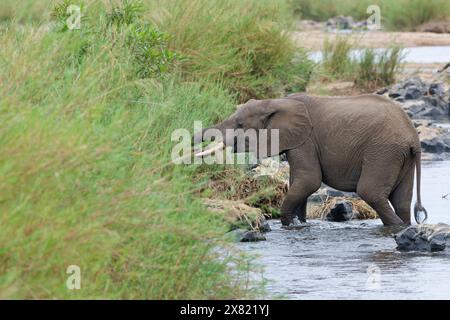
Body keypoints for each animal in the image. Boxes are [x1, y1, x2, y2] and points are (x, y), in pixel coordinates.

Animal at [192, 94, 426, 226]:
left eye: (240, 124)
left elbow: (308, 180)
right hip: (399, 156)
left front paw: (289, 224)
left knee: (370, 192)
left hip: (383, 151)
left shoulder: (306, 140)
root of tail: (413, 136)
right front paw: (299, 223)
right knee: (401, 200)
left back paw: (397, 228)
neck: (275, 102)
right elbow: (298, 182)